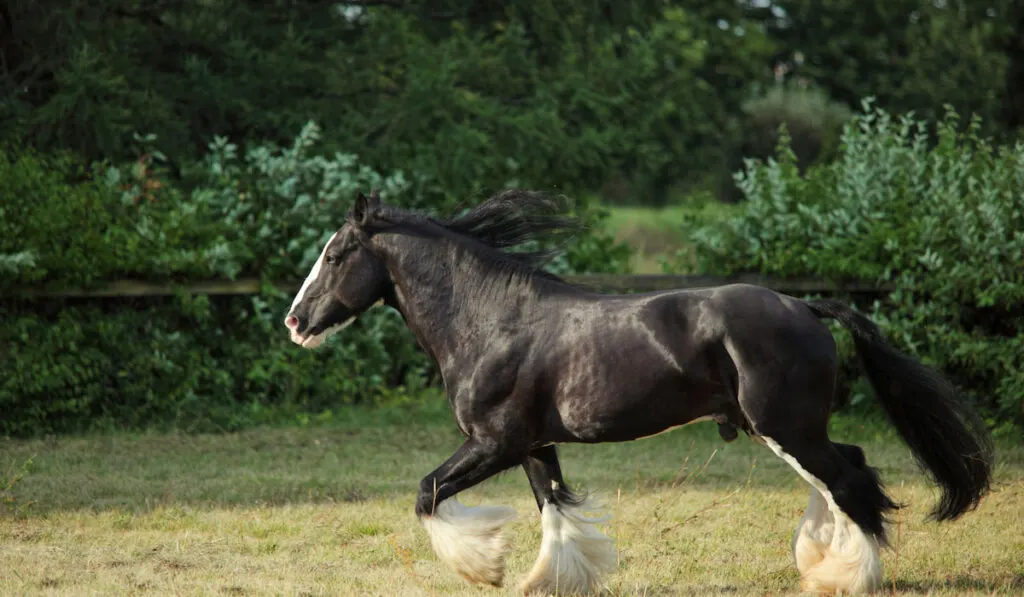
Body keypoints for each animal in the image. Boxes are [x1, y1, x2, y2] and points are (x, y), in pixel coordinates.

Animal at [284, 189, 987, 593]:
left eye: (336, 255)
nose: (295, 322)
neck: (491, 321)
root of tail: (807, 307)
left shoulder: (493, 443)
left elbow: (427, 492)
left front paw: (484, 567)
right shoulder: (533, 444)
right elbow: (555, 511)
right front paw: (549, 580)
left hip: (786, 426)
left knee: (848, 481)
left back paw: (848, 577)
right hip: (784, 428)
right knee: (849, 472)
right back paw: (824, 564)